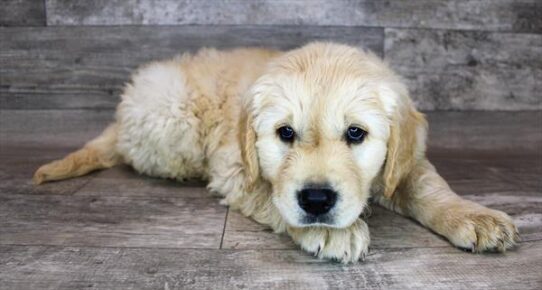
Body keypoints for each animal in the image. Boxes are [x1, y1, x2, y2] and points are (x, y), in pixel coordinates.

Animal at [33, 42, 520, 262]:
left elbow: (428, 187)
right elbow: (269, 195)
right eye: (284, 133)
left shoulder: (404, 161)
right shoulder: (233, 169)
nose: (318, 201)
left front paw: (475, 217)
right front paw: (333, 232)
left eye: (356, 134)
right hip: (172, 118)